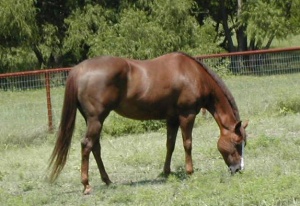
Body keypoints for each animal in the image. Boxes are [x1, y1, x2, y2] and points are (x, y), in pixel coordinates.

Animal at [48, 52, 248, 194]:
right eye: (237, 143)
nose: (238, 169)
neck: (193, 74)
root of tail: (78, 69)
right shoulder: (187, 115)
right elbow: (187, 144)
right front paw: (190, 172)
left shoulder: (172, 118)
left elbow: (170, 144)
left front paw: (166, 172)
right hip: (96, 119)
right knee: (86, 145)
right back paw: (87, 185)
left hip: (94, 120)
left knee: (95, 147)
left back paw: (107, 180)